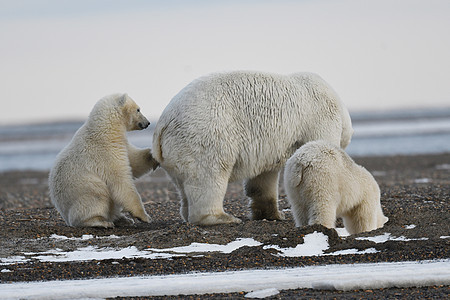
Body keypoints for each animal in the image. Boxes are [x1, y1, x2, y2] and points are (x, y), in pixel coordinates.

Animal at [153, 71, 354, 225]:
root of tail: (163, 124)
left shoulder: (269, 146)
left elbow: (263, 178)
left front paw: (272, 214)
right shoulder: (320, 119)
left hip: (176, 150)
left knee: (183, 183)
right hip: (206, 133)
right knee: (209, 174)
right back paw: (222, 218)